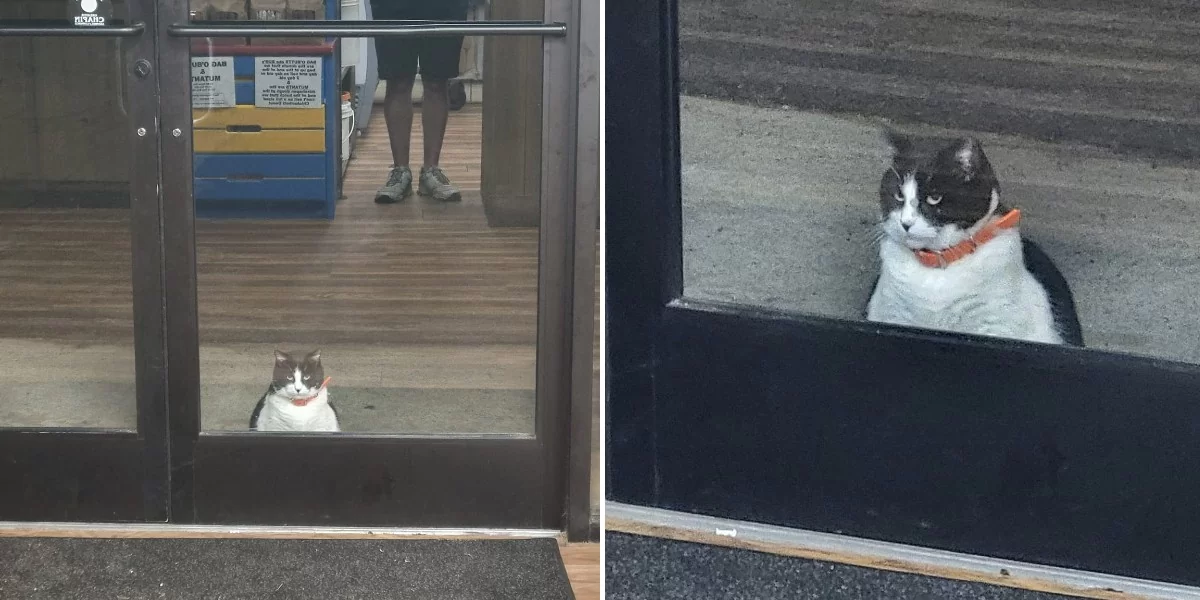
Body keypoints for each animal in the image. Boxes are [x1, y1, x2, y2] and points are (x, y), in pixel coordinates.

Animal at [864, 131, 1089, 348]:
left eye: (934, 198)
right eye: (898, 196)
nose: (906, 223)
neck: (937, 267)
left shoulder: (993, 325)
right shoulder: (892, 317)